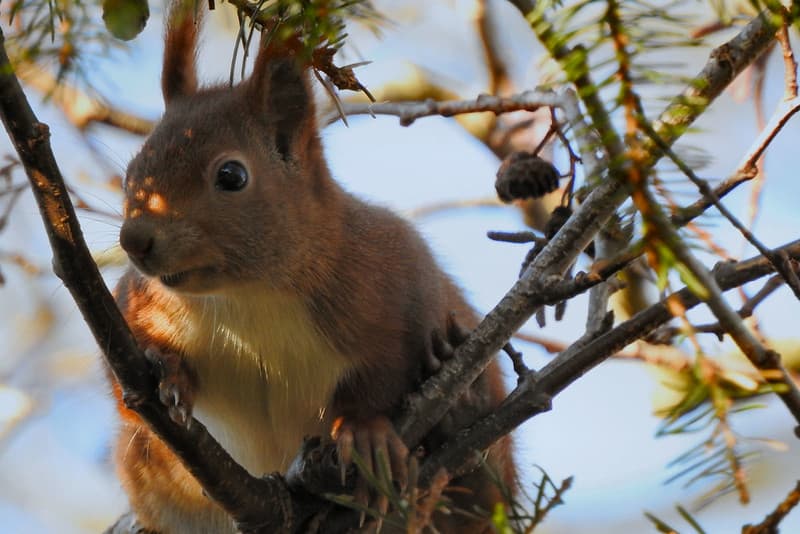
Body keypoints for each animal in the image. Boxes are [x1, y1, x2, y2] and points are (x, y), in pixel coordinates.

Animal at [110, 2, 515, 533]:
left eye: (231, 175)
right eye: (133, 170)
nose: (134, 240)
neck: (249, 298)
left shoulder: (396, 275)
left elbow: (382, 375)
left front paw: (364, 432)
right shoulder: (136, 299)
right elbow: (127, 393)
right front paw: (166, 369)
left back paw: (461, 405)